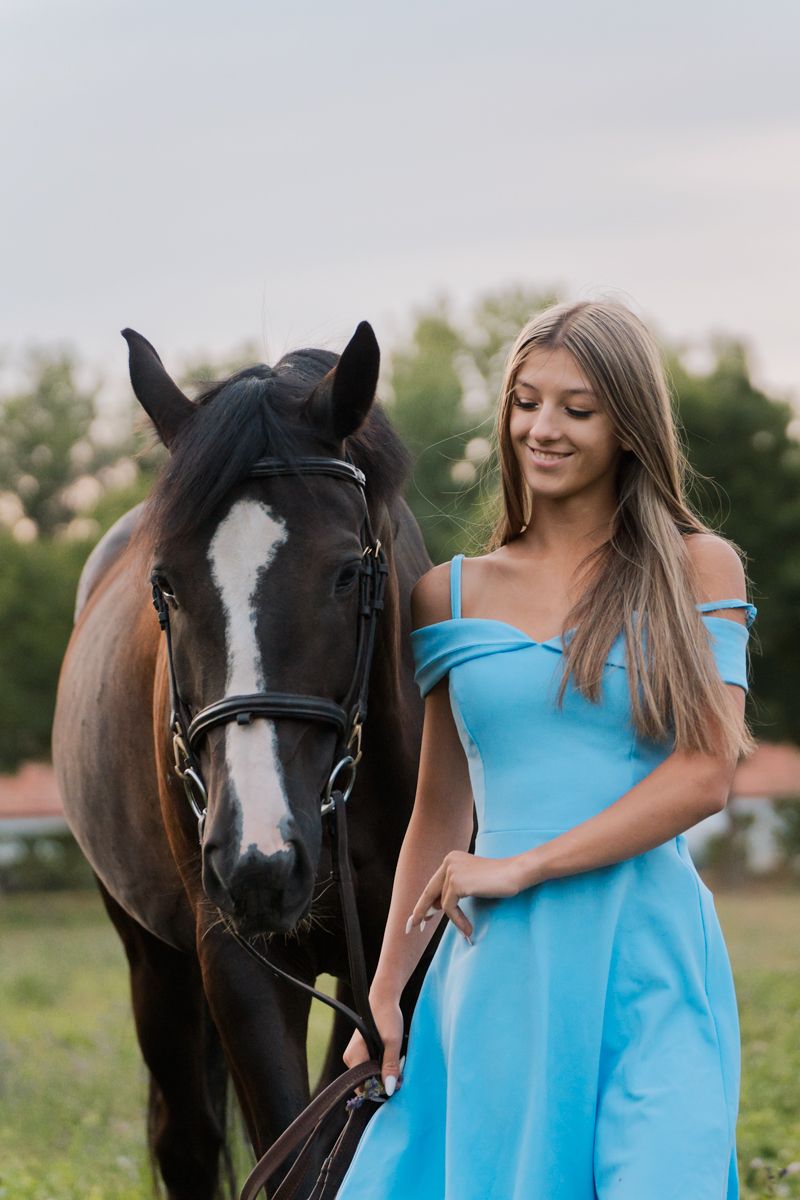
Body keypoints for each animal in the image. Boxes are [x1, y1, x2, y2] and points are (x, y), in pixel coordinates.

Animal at [52, 321, 438, 1199]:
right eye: (165, 584)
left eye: (347, 572)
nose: (258, 860)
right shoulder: (235, 955)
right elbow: (292, 1162)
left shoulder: (394, 961)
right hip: (152, 958)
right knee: (187, 1141)